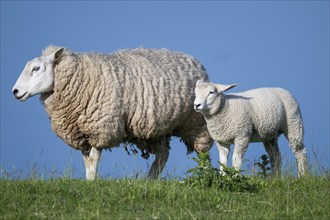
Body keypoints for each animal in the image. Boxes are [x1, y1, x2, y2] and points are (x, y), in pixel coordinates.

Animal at [12, 45, 214, 180]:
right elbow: (87, 161)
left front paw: (92, 183)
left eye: (36, 68)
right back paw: (149, 180)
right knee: (162, 157)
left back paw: (205, 178)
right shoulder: (81, 133)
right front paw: (88, 180)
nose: (15, 91)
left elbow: (94, 159)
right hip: (159, 128)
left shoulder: (100, 128)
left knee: (203, 152)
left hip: (195, 123)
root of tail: (195, 62)